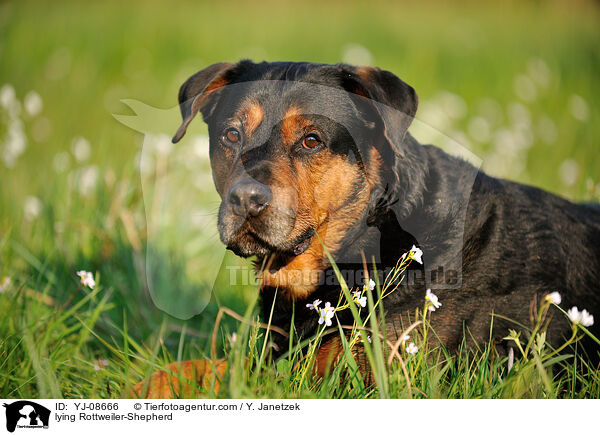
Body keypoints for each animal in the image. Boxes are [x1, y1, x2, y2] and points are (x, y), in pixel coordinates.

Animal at [132, 60, 600, 398]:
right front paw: (143, 385)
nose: (245, 198)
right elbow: (194, 368)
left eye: (312, 140)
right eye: (231, 135)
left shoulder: (381, 378)